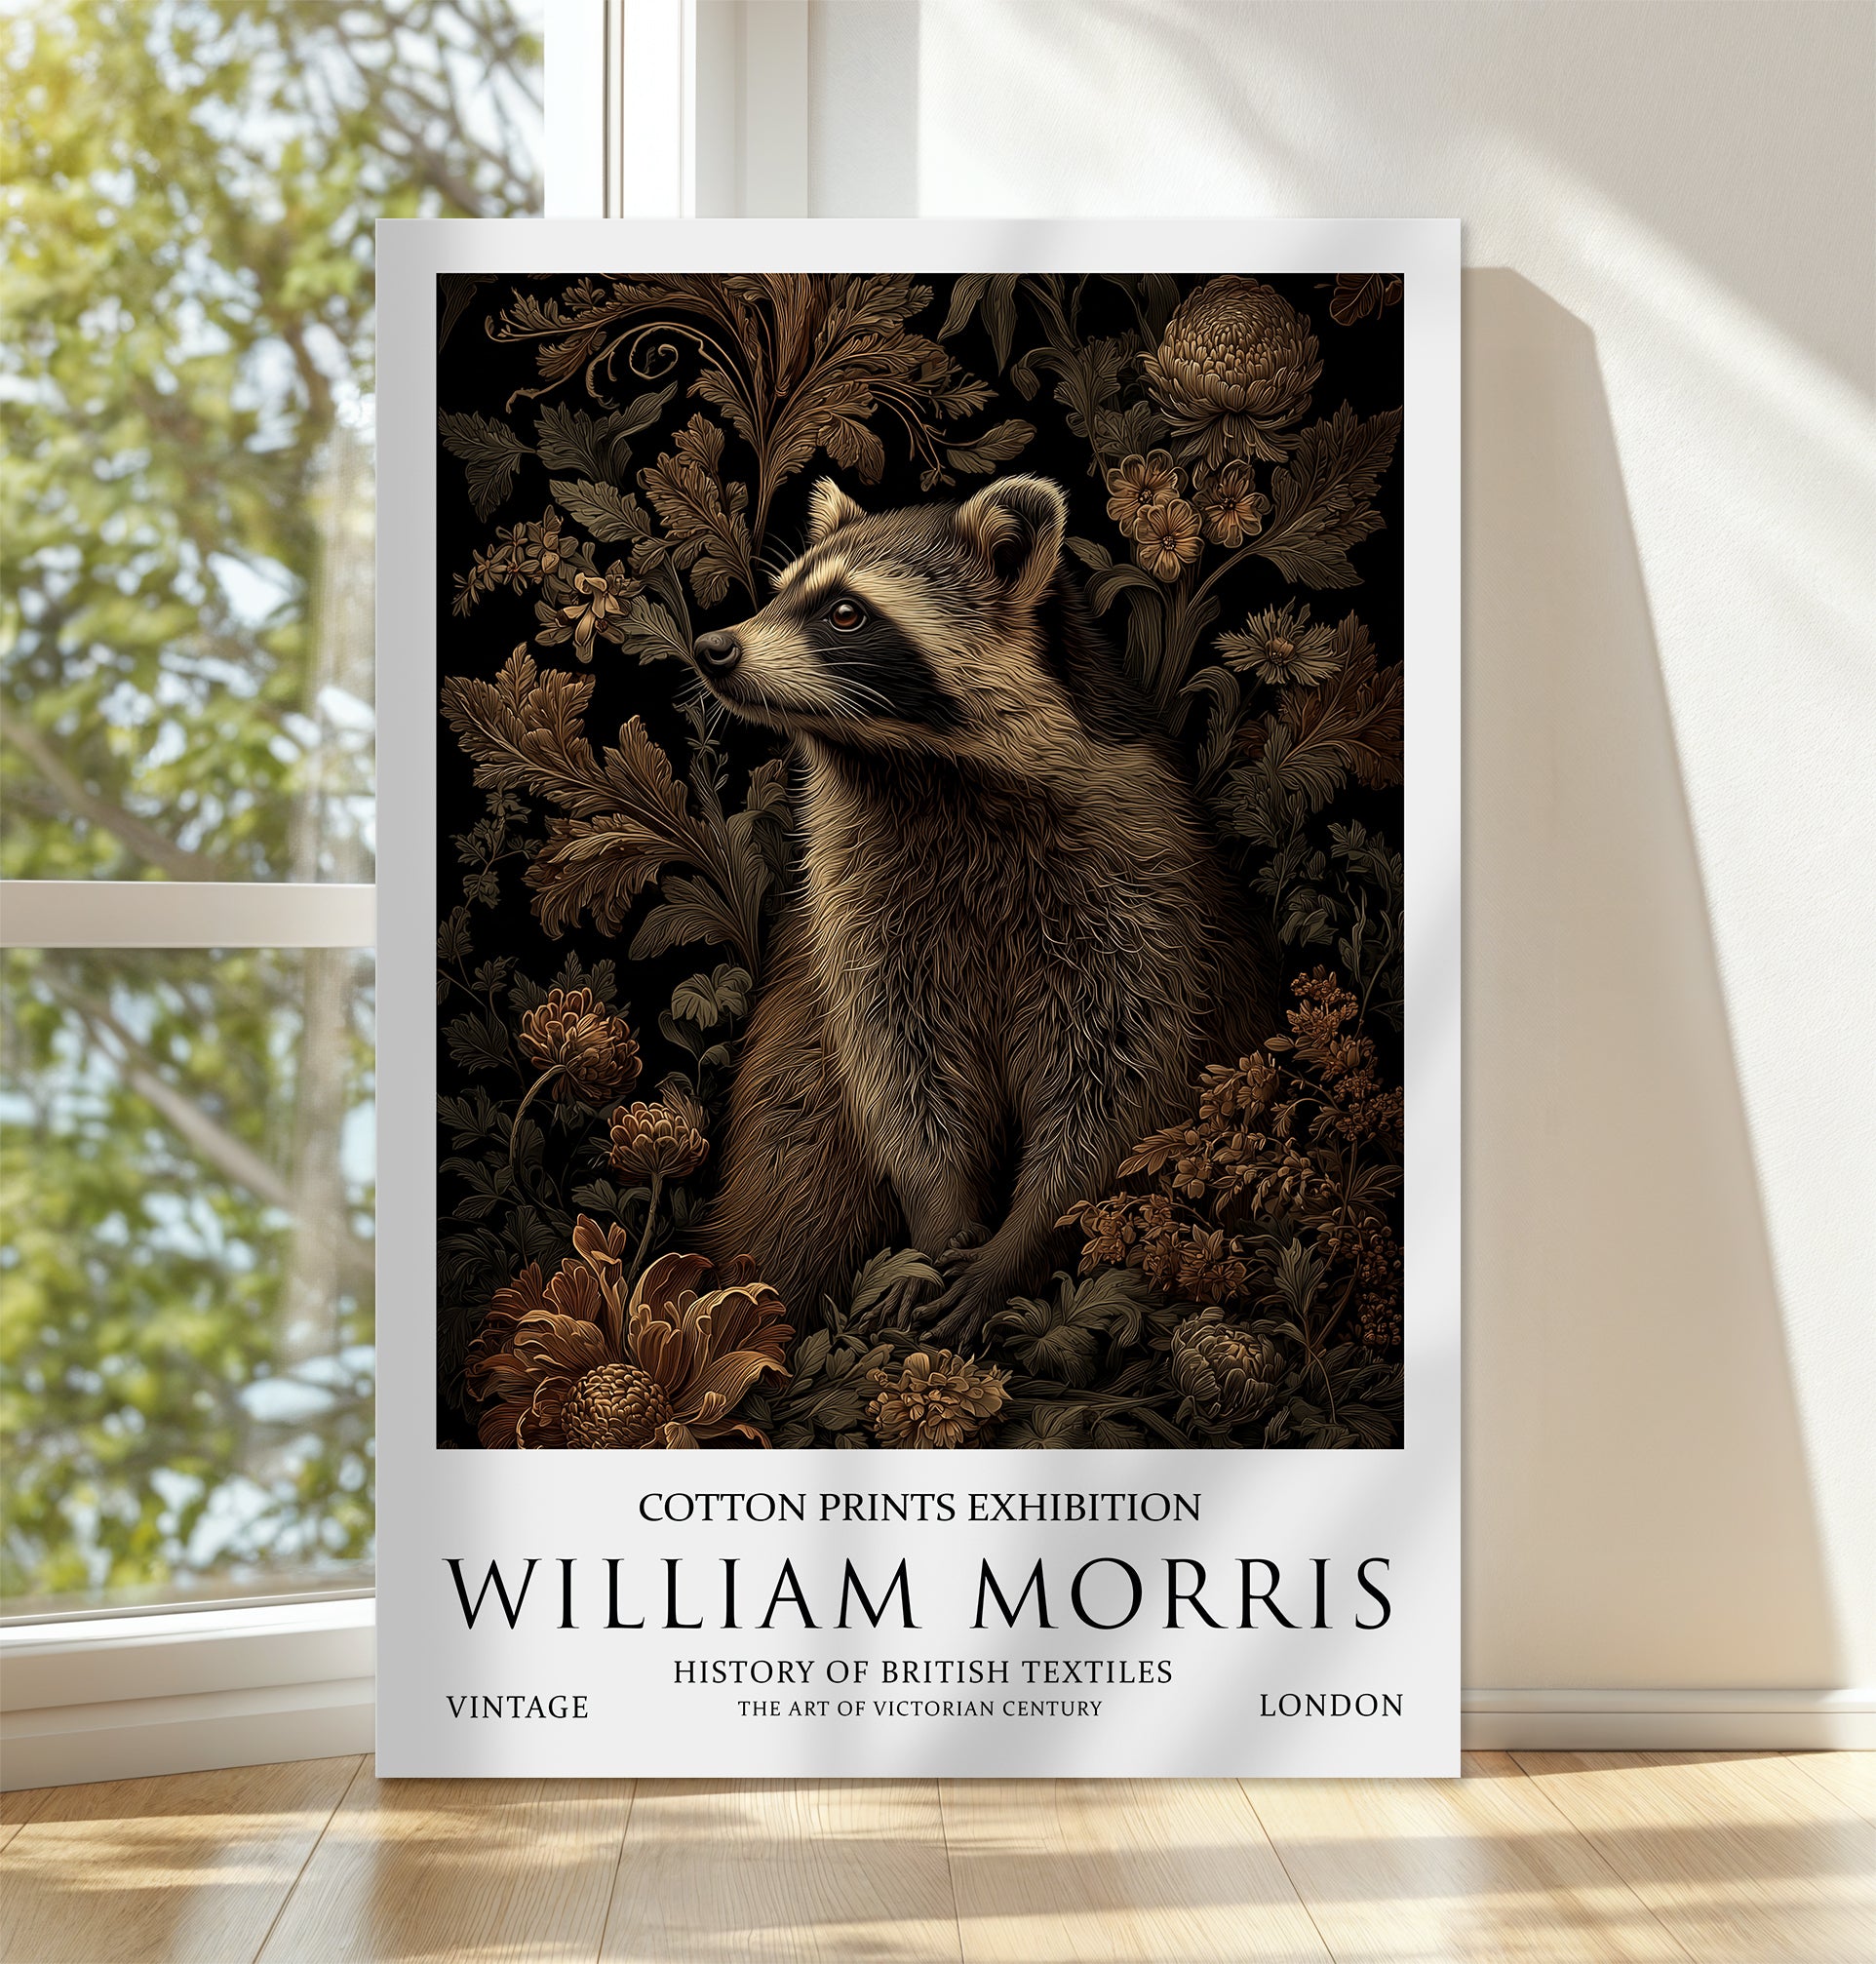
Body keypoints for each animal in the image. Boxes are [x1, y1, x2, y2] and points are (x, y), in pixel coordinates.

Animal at [687, 473, 1265, 1347]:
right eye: (779, 594)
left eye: (845, 612)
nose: (714, 648)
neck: (916, 769)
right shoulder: (854, 896)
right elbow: (899, 1060)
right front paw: (939, 1214)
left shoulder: (1140, 876)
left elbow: (1116, 1075)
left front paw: (1025, 1232)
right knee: (799, 1163)